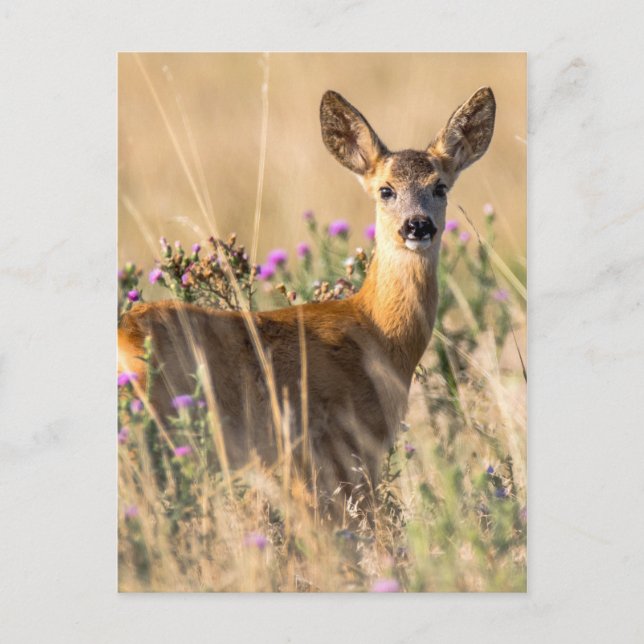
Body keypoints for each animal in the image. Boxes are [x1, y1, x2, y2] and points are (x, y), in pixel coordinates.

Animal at [118, 87, 496, 517]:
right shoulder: (339, 448)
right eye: (386, 190)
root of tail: (126, 332)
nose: (417, 225)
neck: (377, 333)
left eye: (440, 187)